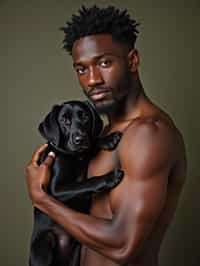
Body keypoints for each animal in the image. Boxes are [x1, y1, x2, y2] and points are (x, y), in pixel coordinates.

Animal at [29, 100, 123, 266]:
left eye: (84, 116)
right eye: (64, 120)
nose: (79, 139)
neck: (74, 156)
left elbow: (91, 146)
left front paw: (107, 139)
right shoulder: (55, 190)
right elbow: (86, 183)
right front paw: (110, 177)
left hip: (76, 252)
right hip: (43, 247)